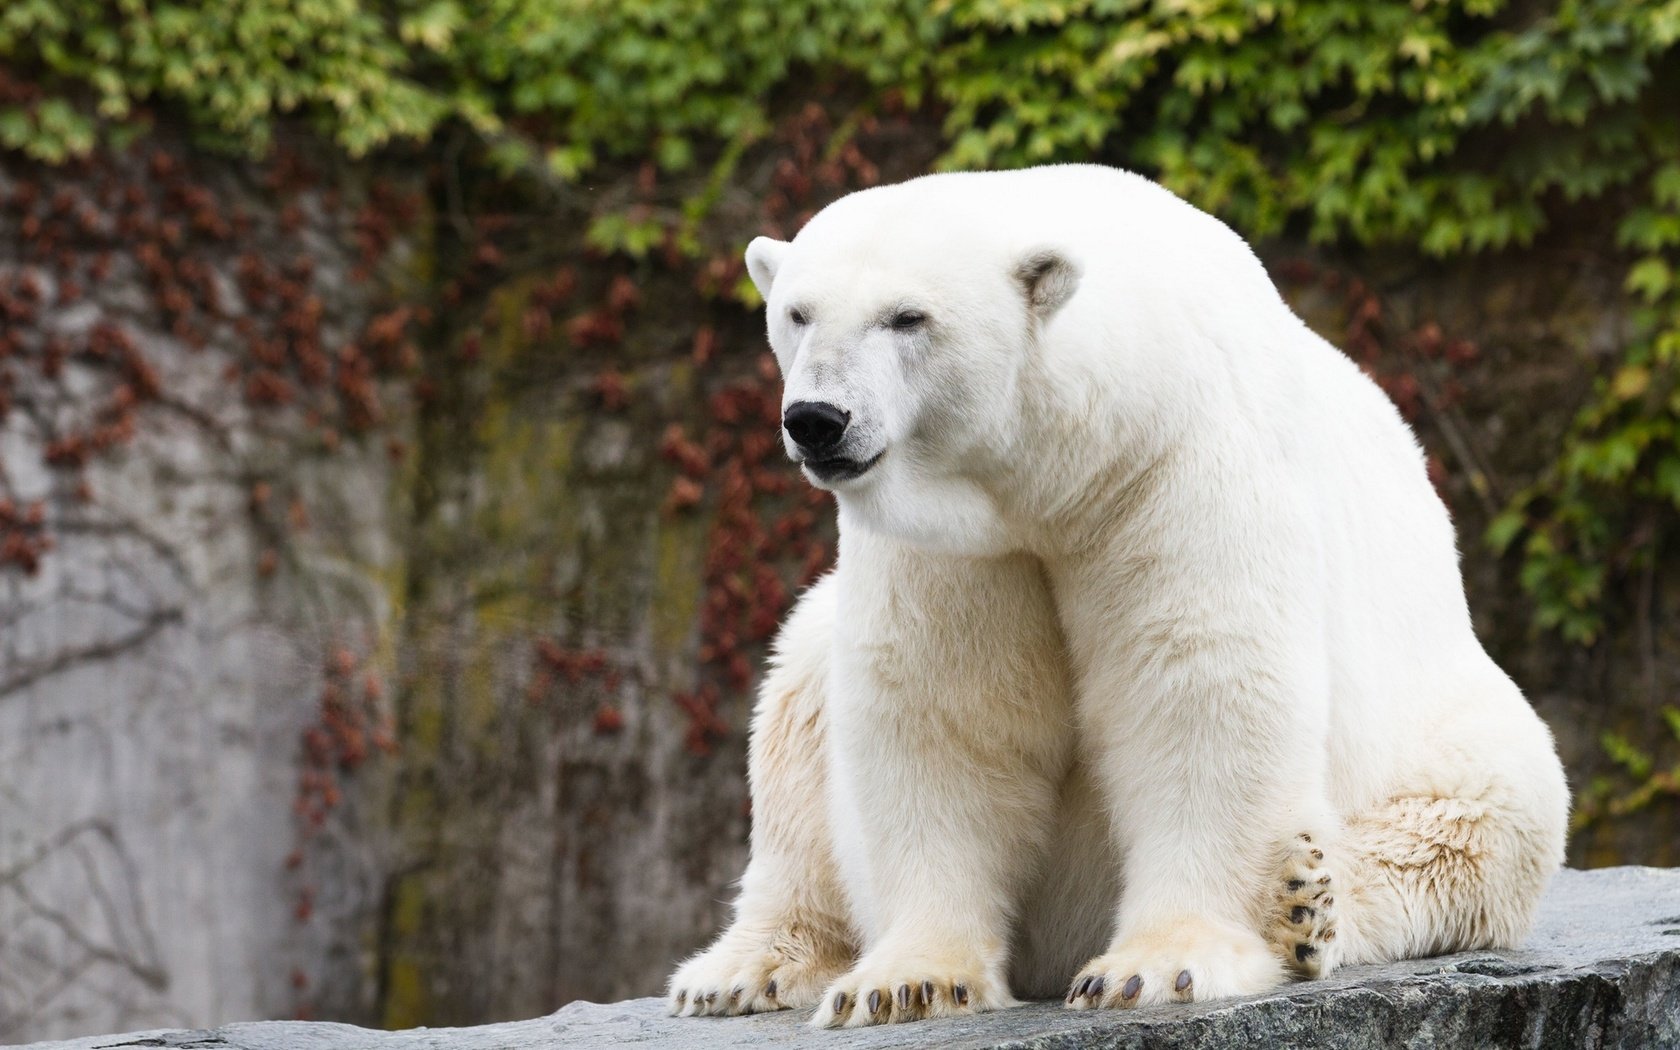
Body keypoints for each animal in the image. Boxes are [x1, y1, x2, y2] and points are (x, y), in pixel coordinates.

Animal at [661, 163, 1565, 1021]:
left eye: (907, 317)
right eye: (798, 313)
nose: (818, 418)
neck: (1071, 462)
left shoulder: (1176, 461)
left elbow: (1198, 681)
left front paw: (1156, 967)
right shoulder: (960, 545)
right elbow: (944, 706)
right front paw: (907, 982)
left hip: (1446, 727)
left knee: (1477, 822)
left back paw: (1305, 904)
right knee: (798, 702)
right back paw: (740, 971)